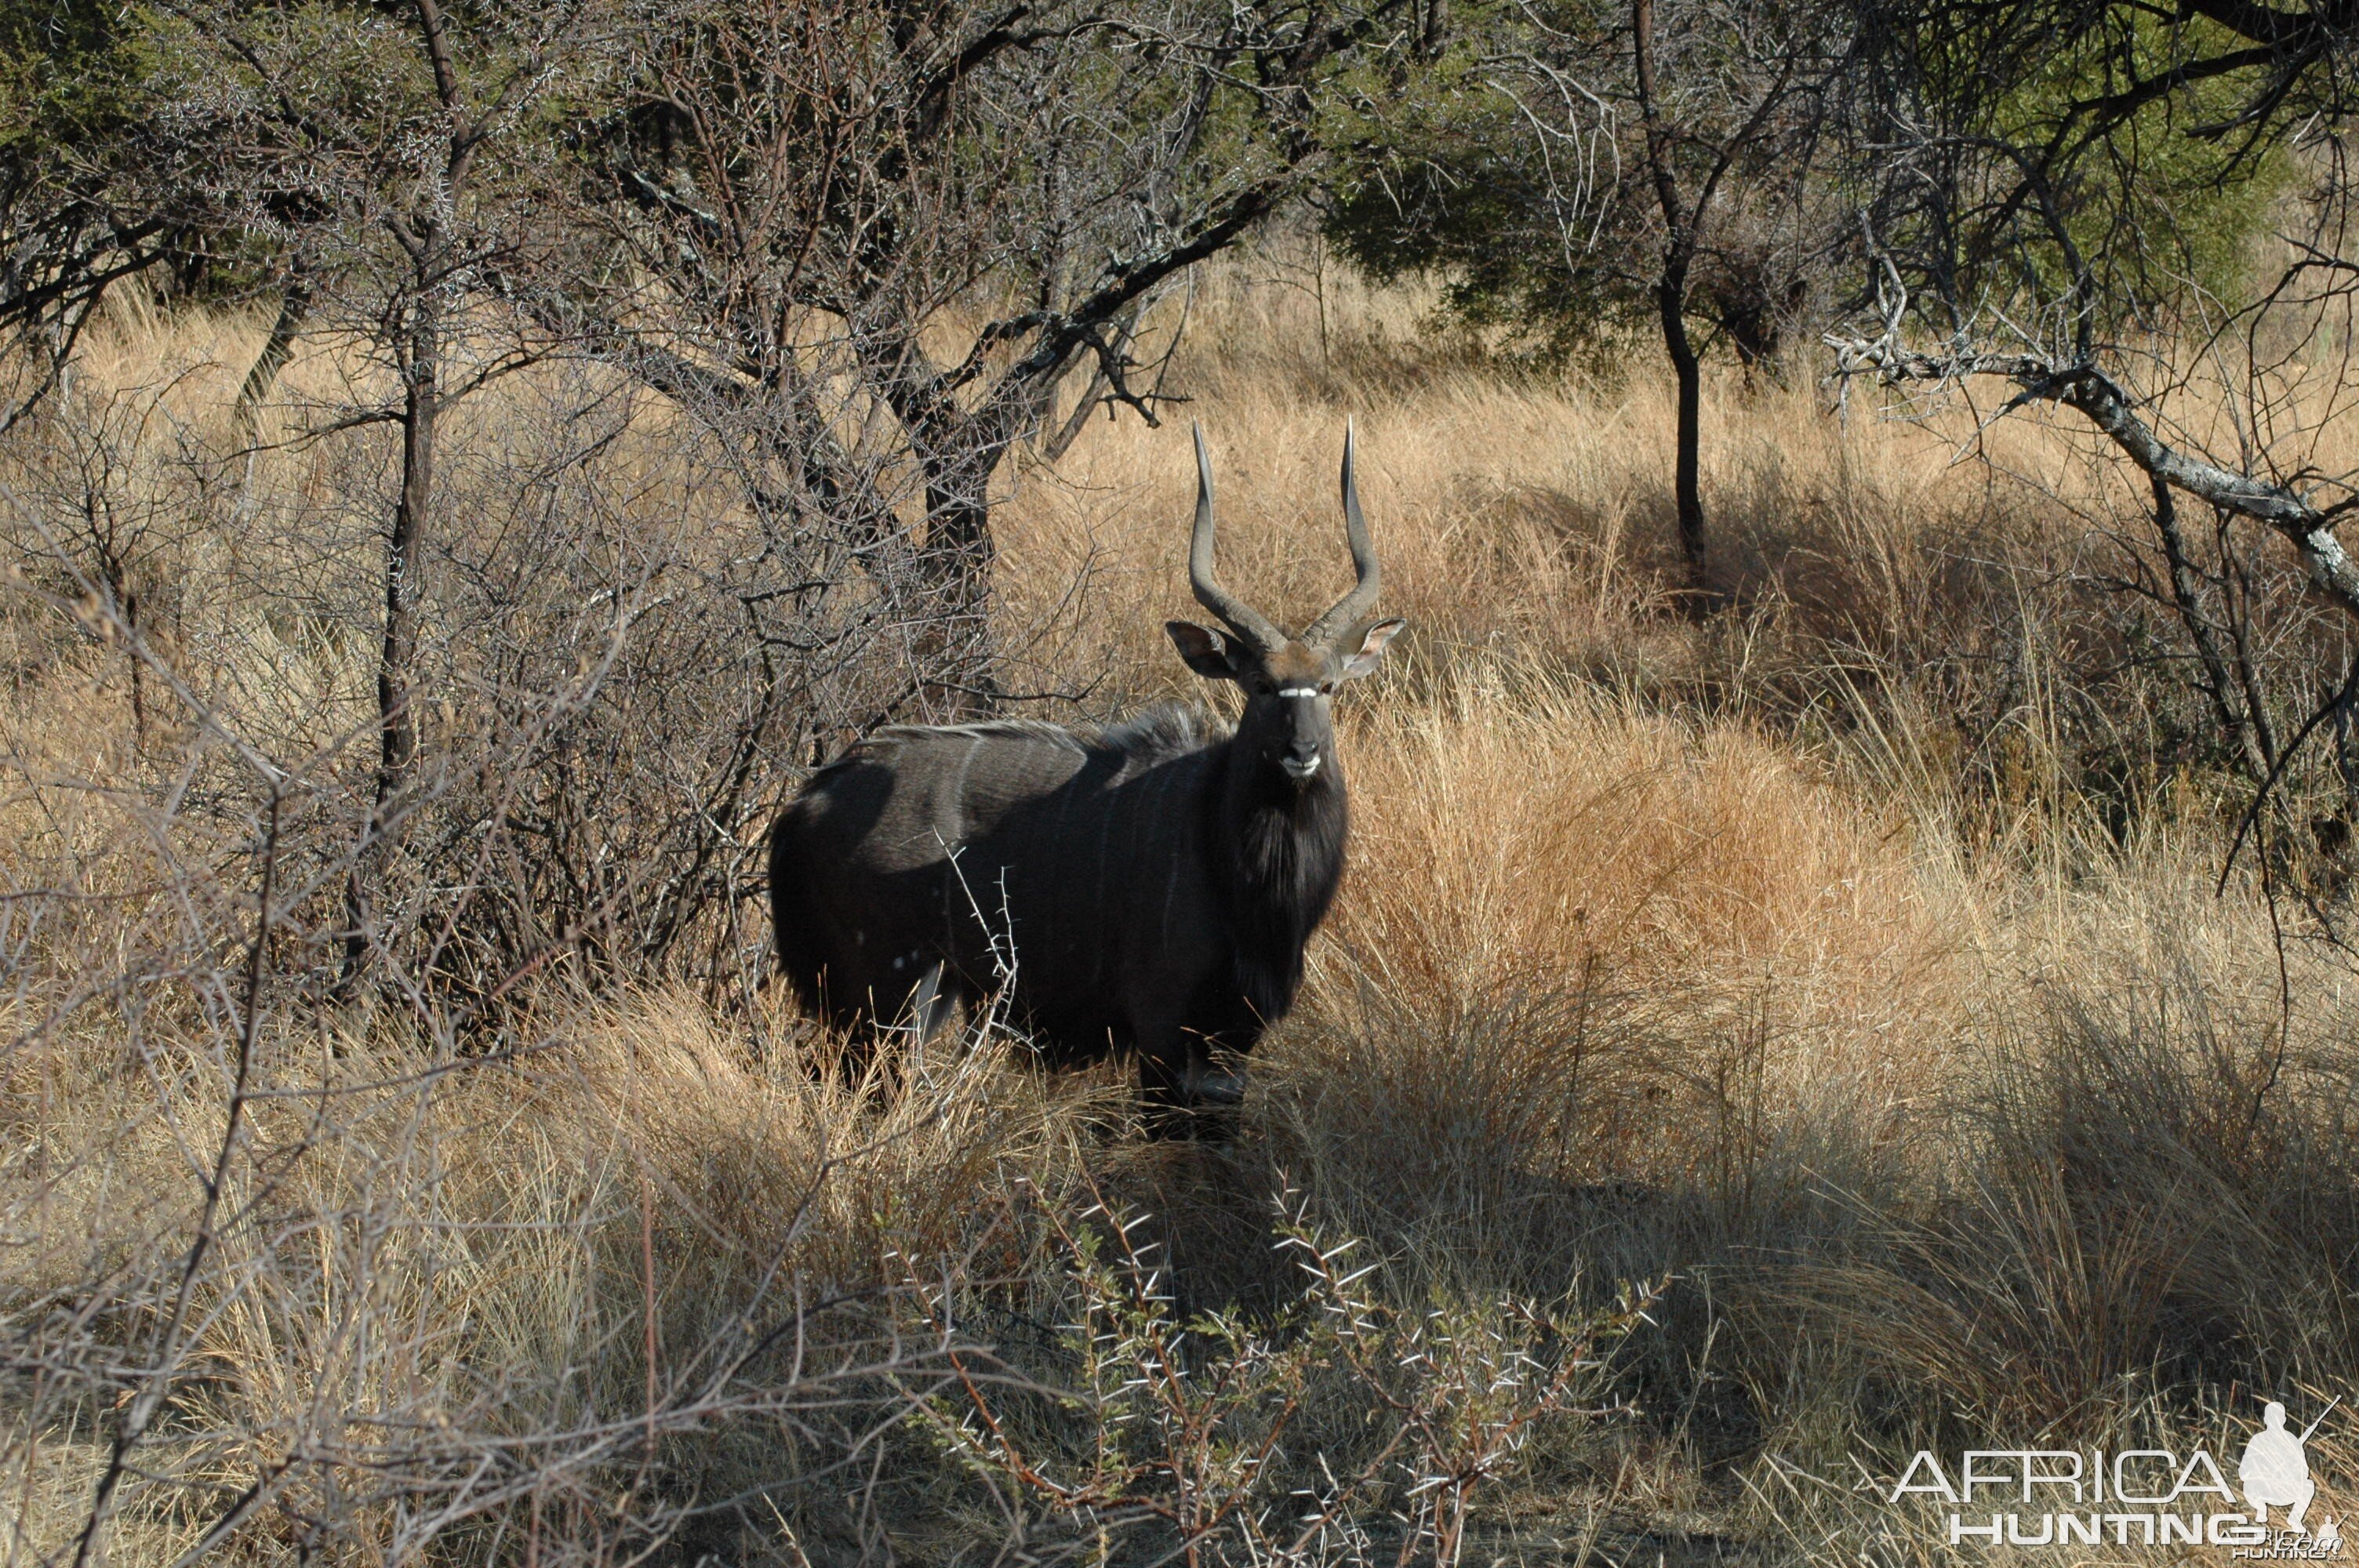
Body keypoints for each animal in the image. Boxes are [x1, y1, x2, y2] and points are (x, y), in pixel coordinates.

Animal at [769, 424, 1396, 1127]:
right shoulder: (1162, 1022)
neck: (1223, 843)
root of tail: (806, 804)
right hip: (887, 994)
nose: (1301, 750)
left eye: (1329, 686)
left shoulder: (1232, 1040)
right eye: (1261, 685)